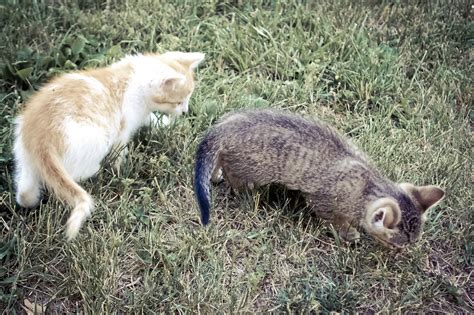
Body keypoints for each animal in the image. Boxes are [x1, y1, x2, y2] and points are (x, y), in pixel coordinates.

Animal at [13, 51, 204, 239]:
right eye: (178, 102)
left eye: (188, 98)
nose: (185, 111)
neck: (134, 78)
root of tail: (42, 138)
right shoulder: (123, 127)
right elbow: (119, 151)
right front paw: (120, 169)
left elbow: (150, 119)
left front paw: (168, 124)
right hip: (94, 140)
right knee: (75, 174)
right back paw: (95, 170)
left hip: (25, 156)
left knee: (25, 189)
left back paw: (29, 200)